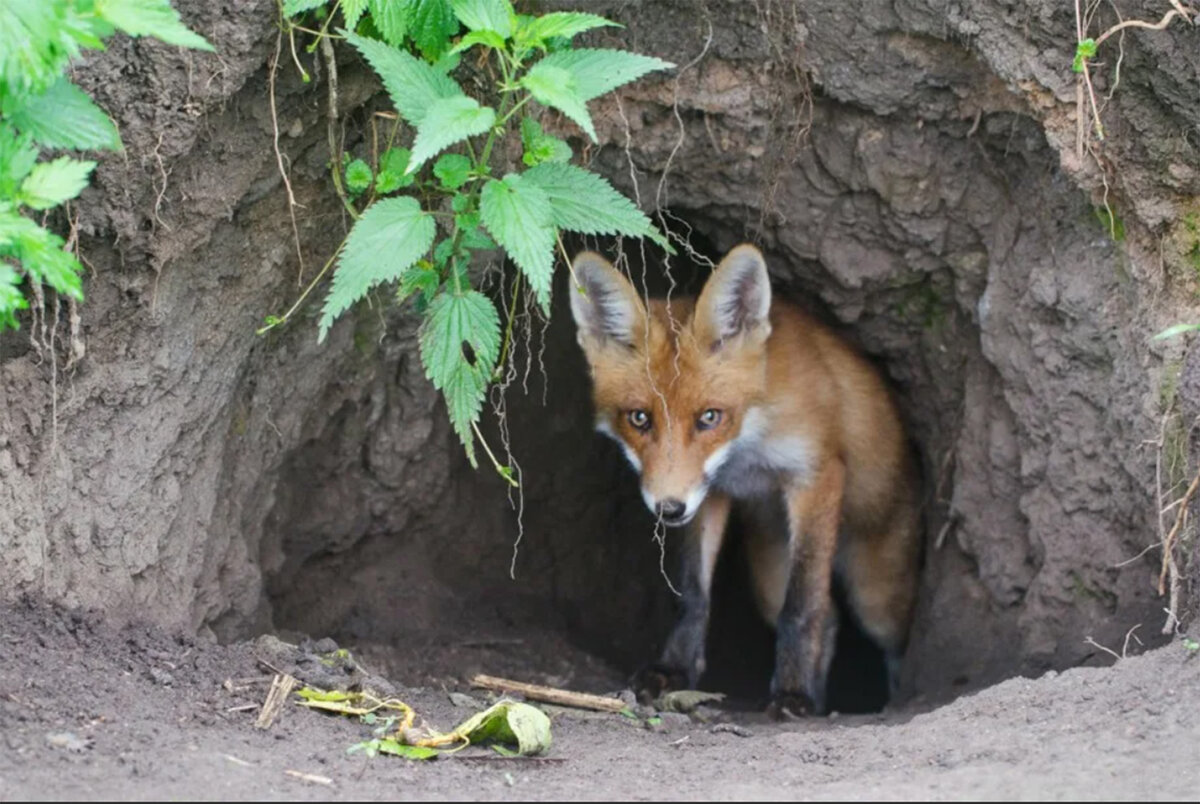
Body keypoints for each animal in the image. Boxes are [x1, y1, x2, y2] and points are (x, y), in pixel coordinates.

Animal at [566, 246, 921, 720]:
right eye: (639, 418)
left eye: (709, 417)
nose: (668, 508)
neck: (749, 445)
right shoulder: (709, 492)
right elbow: (693, 595)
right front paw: (674, 670)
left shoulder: (816, 474)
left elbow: (802, 605)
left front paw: (792, 693)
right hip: (769, 575)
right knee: (829, 619)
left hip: (876, 594)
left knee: (886, 636)